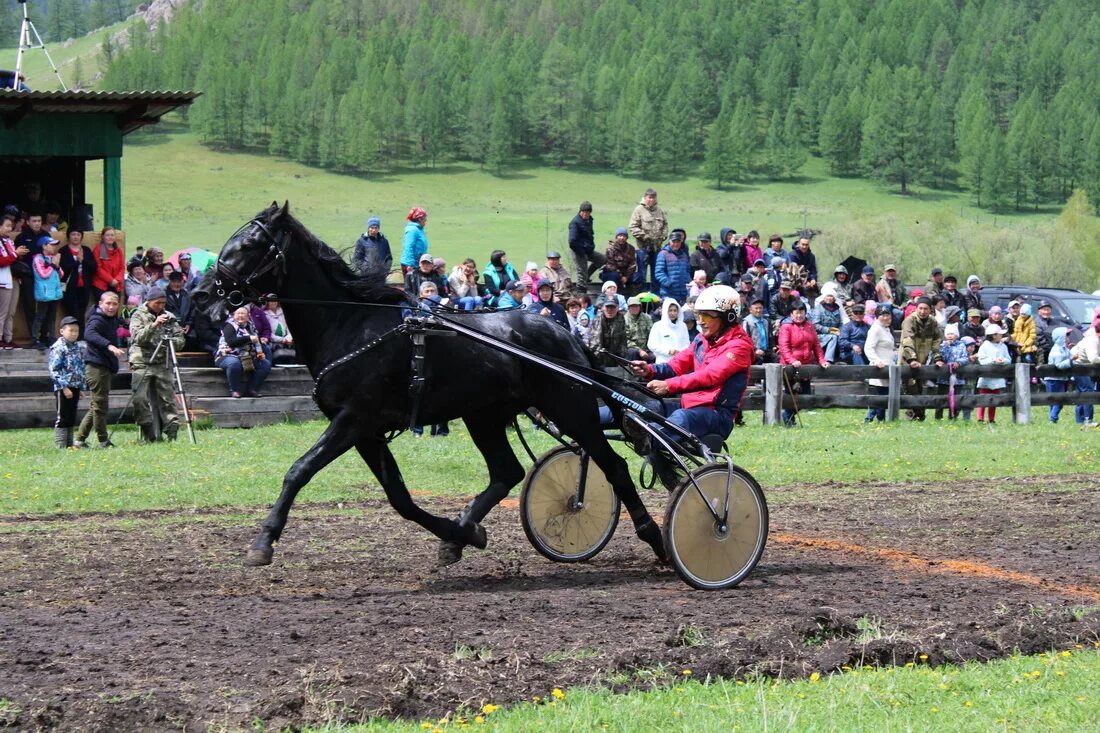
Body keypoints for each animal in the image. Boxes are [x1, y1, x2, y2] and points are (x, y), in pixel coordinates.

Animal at [193, 202, 664, 567]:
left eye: (248, 246)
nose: (201, 294)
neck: (352, 325)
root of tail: (565, 334)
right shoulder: (365, 429)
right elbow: (399, 497)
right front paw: (460, 534)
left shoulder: (355, 418)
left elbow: (299, 470)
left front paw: (263, 541)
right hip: (483, 415)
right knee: (507, 472)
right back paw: (463, 531)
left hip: (571, 408)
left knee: (613, 467)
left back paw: (656, 537)